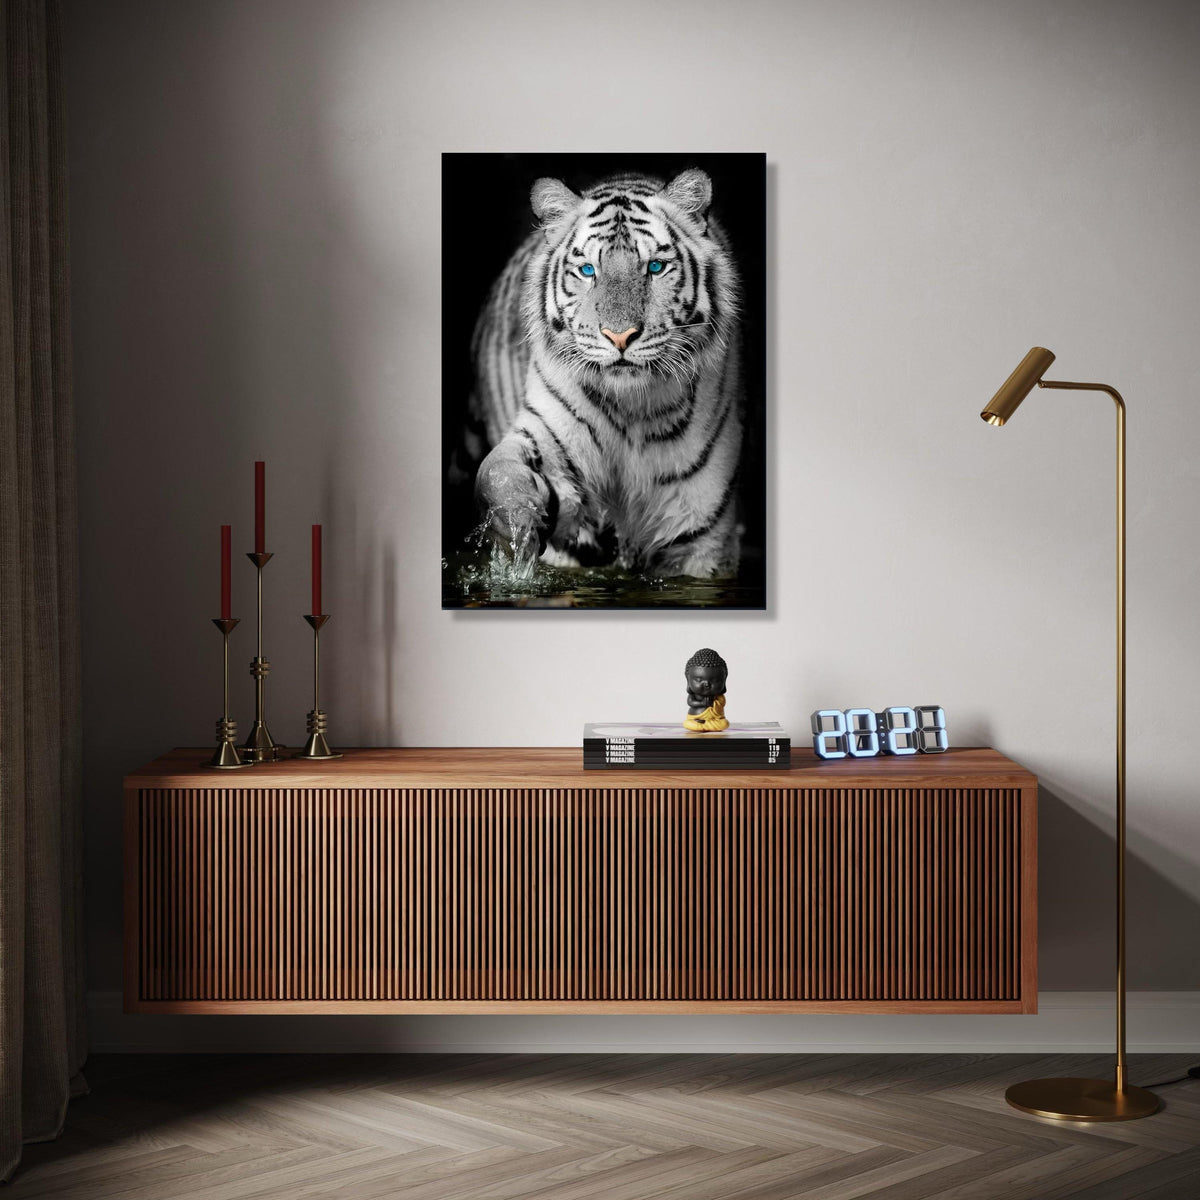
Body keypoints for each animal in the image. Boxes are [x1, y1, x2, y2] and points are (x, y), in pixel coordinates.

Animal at [462, 168, 744, 579]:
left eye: (655, 267)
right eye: (587, 270)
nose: (620, 336)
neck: (632, 409)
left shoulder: (700, 536)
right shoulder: (545, 434)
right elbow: (497, 472)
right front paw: (518, 522)